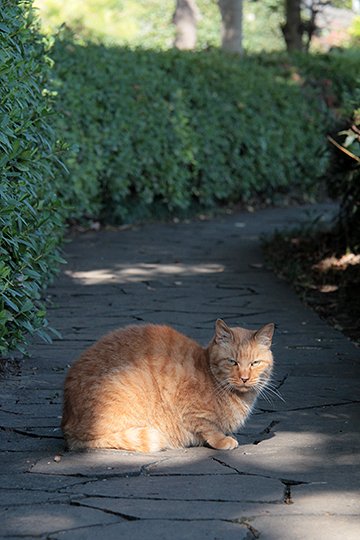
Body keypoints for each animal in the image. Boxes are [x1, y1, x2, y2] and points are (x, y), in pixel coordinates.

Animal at [62, 320, 276, 452]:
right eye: (232, 362)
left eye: (255, 363)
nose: (245, 378)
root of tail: (68, 423)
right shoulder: (191, 410)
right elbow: (209, 428)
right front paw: (222, 440)